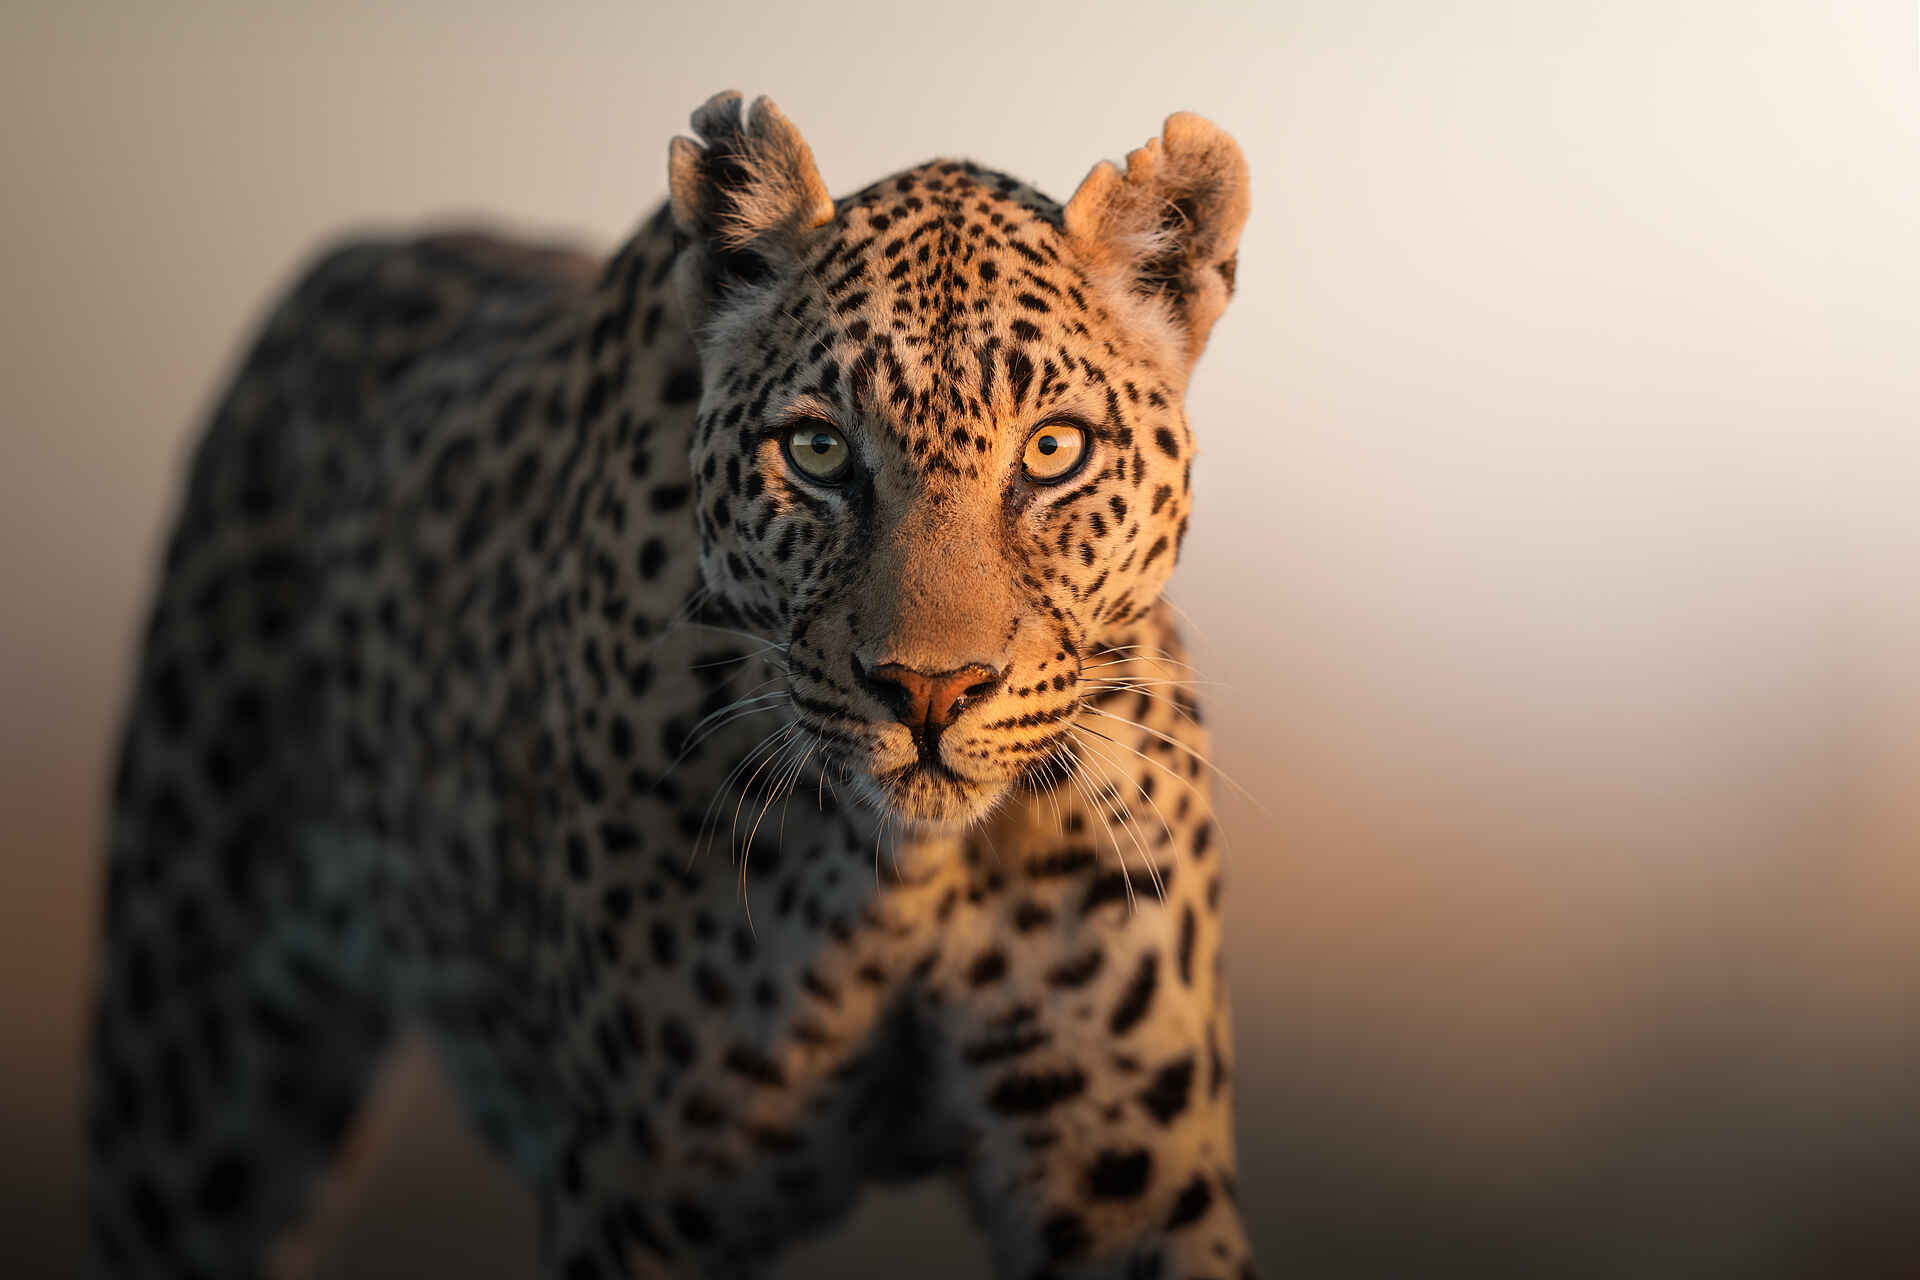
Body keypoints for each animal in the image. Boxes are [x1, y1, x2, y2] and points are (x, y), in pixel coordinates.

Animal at [88, 90, 1253, 1280]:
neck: (908, 878)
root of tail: (354, 255)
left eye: (1056, 450)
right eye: (819, 452)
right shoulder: (639, 1201)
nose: (930, 692)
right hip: (190, 1049)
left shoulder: (1130, 1183)